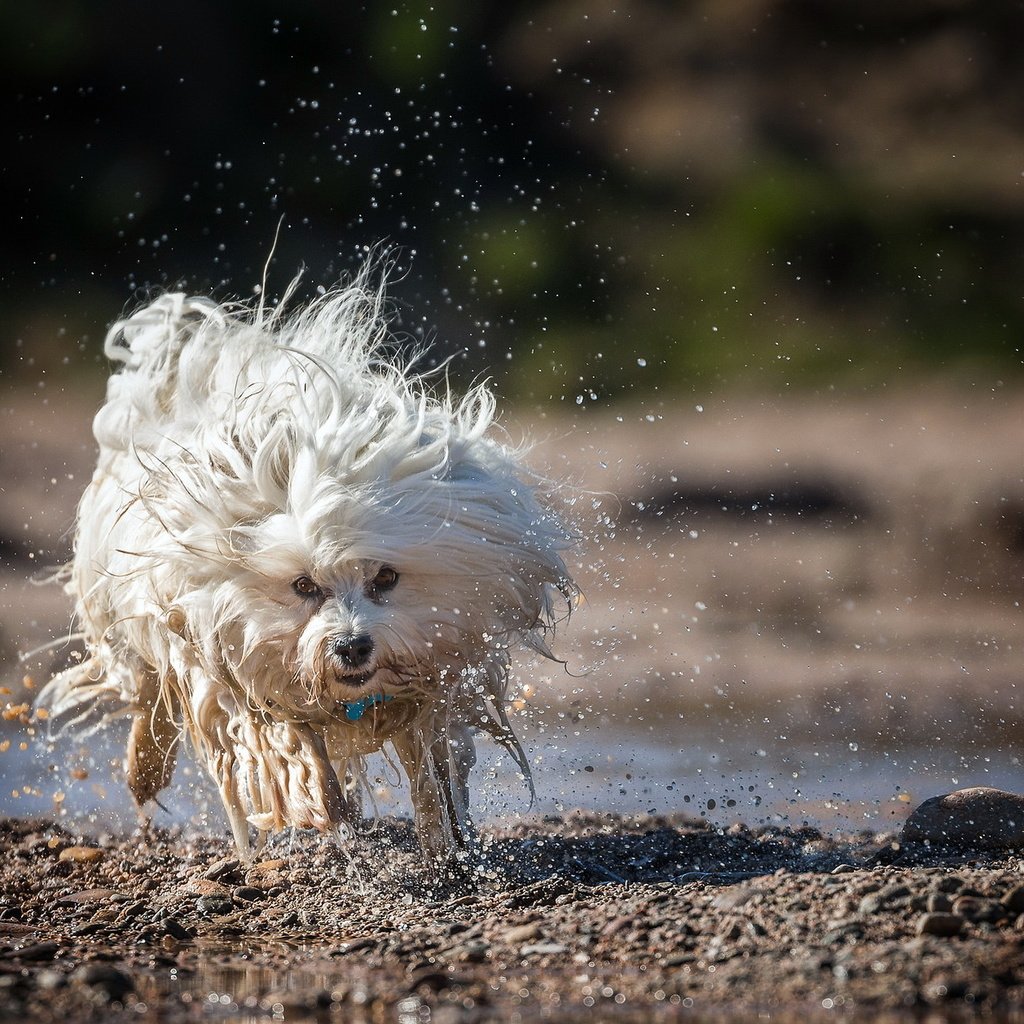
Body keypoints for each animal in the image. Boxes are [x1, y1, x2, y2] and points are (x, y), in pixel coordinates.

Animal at [41, 268, 577, 860]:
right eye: (303, 585)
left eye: (385, 578)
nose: (351, 646)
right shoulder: (227, 665)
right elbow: (288, 744)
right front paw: (322, 807)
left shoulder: (437, 670)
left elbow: (430, 769)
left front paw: (444, 844)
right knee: (147, 697)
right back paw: (145, 772)